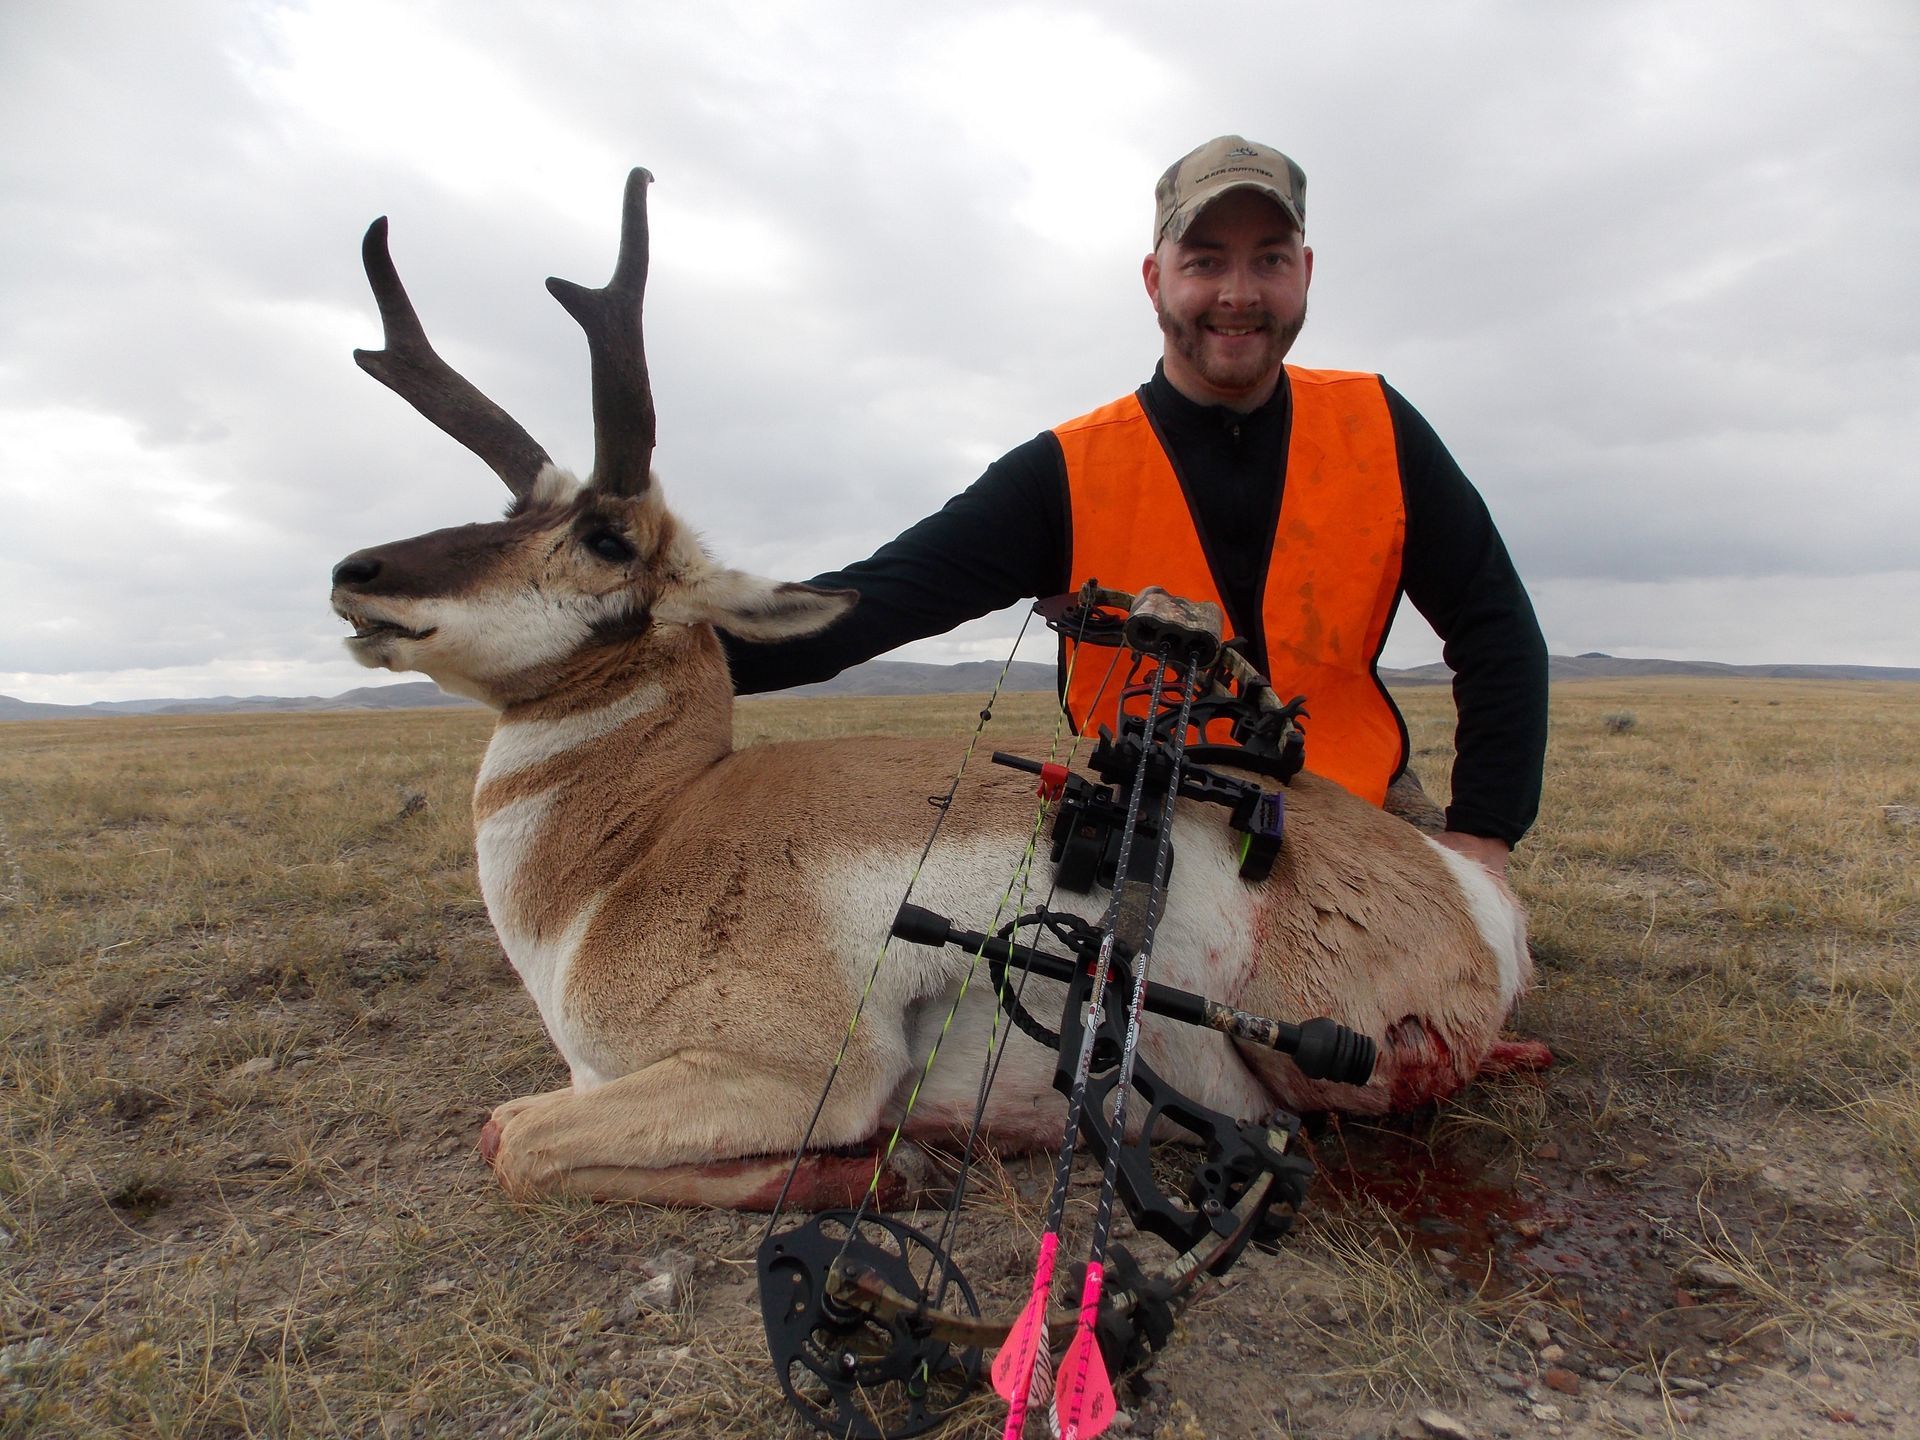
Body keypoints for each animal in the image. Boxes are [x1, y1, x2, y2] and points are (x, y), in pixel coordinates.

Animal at [328, 169, 1545, 1209]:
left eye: (604, 537)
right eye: (511, 509)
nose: (357, 572)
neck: (636, 853)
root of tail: (1468, 891)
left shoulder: (788, 1070)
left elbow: (513, 1138)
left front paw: (881, 1165)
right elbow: (516, 1129)